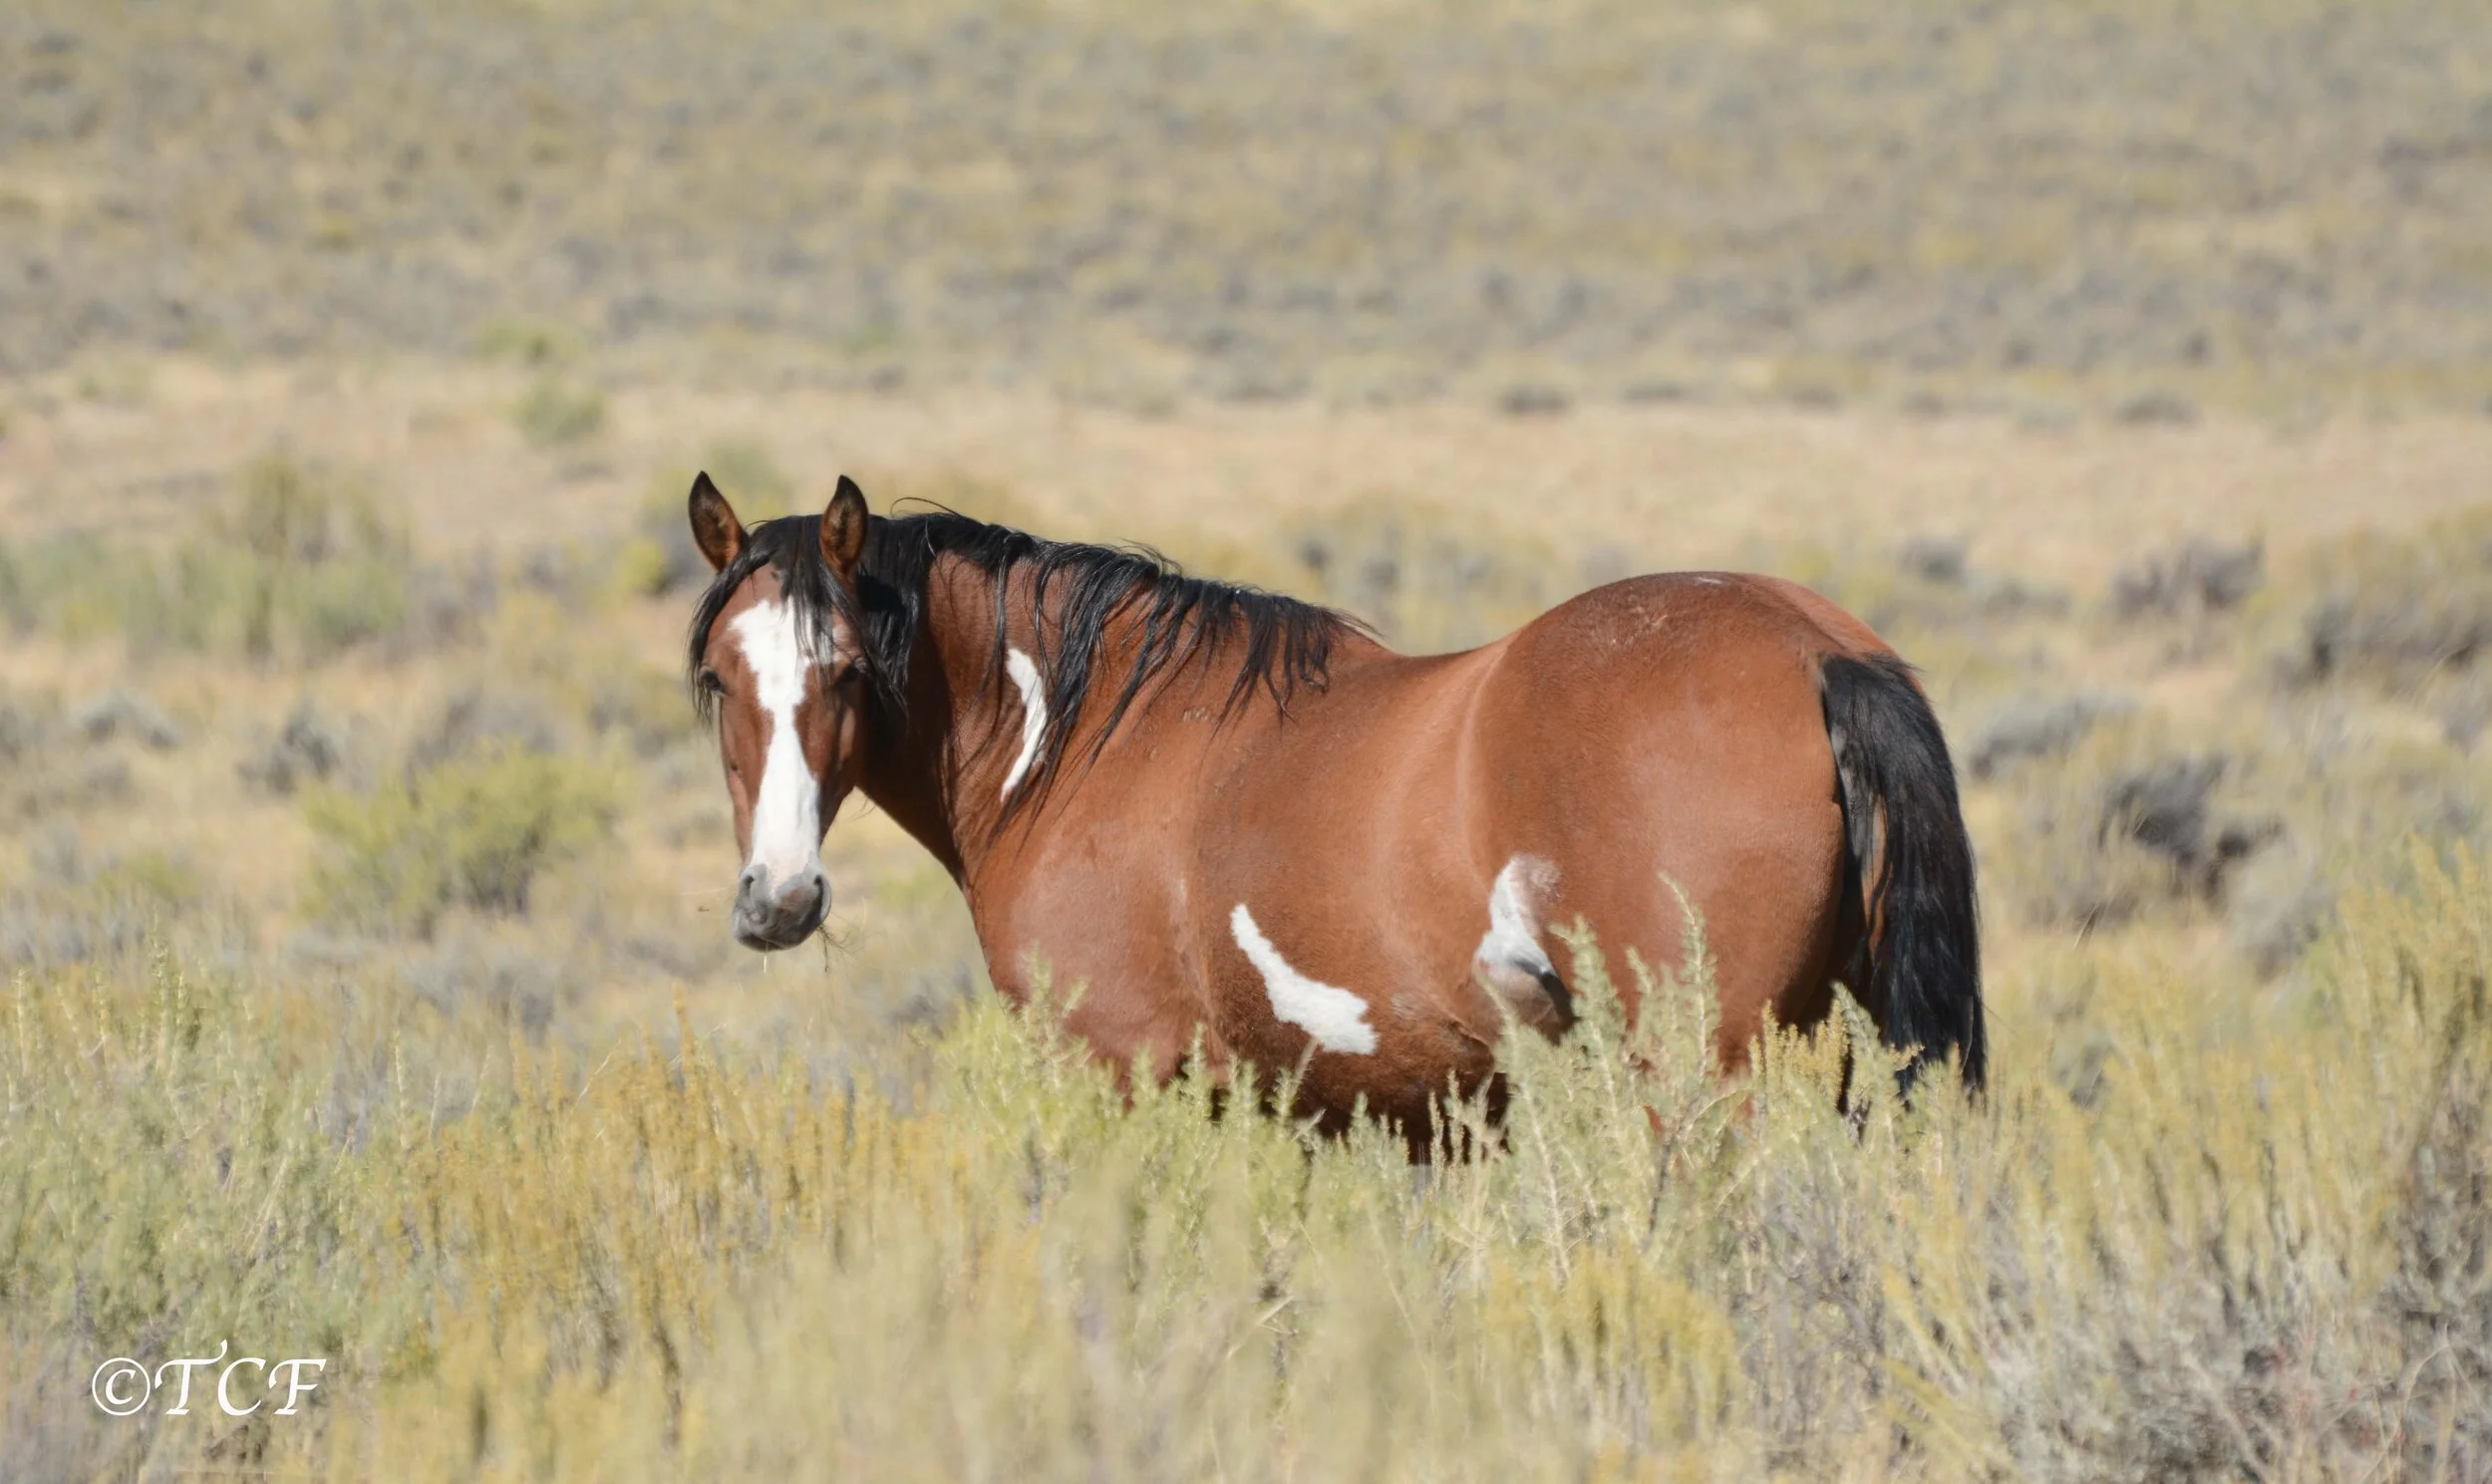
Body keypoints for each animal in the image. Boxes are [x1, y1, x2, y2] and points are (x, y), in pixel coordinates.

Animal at [681, 472, 1984, 1139]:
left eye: (849, 671)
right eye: (717, 680)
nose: (777, 901)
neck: (1081, 739)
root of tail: (1816, 649)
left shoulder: (1126, 1075)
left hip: (1699, 1072)